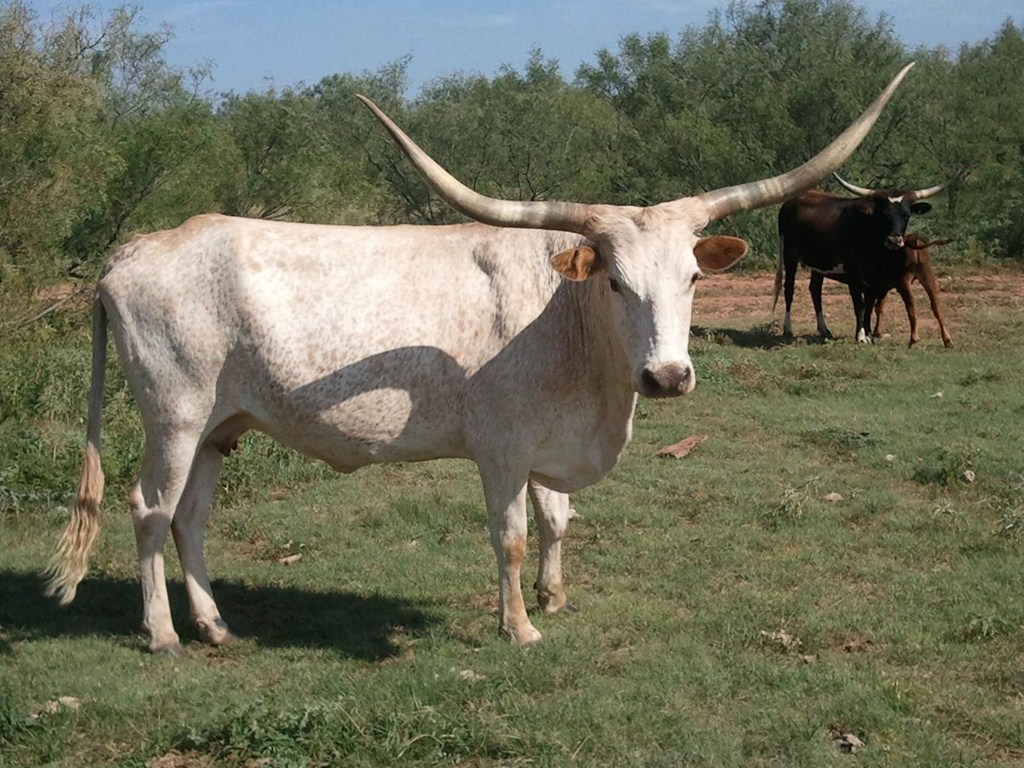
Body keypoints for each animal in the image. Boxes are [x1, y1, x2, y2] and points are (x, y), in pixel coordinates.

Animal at [44, 64, 916, 654]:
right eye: (616, 281)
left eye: (694, 278)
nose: (667, 377)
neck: (569, 322)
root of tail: (135, 251)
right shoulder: (500, 449)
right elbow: (512, 536)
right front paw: (520, 627)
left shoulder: (545, 445)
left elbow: (558, 519)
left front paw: (553, 598)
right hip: (174, 414)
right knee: (148, 509)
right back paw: (163, 634)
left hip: (220, 425)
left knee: (190, 516)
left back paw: (216, 625)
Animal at [774, 173, 946, 342]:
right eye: (884, 215)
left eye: (906, 215)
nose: (894, 241)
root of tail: (790, 201)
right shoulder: (854, 275)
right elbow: (859, 304)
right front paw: (861, 335)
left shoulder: (875, 279)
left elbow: (869, 304)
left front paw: (868, 334)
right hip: (789, 255)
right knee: (789, 289)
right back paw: (788, 329)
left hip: (819, 263)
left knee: (815, 290)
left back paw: (824, 329)